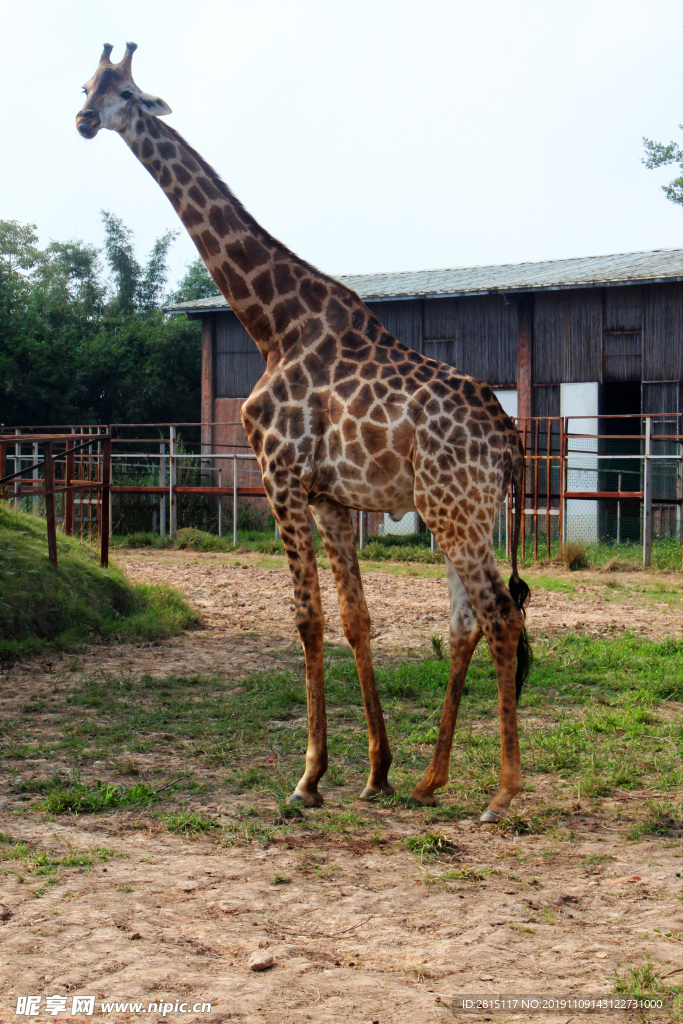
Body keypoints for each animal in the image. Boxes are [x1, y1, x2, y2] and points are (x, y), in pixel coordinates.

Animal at [77, 44, 532, 823]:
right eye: (85, 84)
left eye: (127, 93)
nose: (82, 121)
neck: (272, 325)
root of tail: (507, 436)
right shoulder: (331, 498)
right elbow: (355, 618)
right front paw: (376, 772)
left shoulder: (280, 478)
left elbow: (307, 620)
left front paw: (309, 777)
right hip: (468, 513)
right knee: (466, 622)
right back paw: (429, 780)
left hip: (453, 511)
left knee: (499, 615)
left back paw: (502, 794)